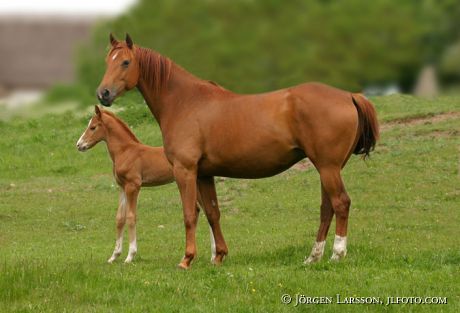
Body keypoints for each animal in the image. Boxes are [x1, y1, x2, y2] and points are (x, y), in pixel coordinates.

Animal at [96, 33, 378, 268]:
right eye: (107, 61)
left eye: (125, 62)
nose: (103, 94)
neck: (185, 102)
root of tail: (349, 95)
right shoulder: (204, 174)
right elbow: (212, 213)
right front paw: (218, 256)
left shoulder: (185, 171)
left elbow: (189, 214)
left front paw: (187, 259)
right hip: (327, 168)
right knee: (327, 208)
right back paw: (313, 257)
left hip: (328, 168)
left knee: (341, 203)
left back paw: (337, 254)